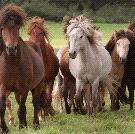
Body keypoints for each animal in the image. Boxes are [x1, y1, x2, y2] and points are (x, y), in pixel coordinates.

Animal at [0, 4, 45, 133]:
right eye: (2, 28)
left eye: (17, 27)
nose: (11, 49)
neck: (12, 64)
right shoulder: (3, 87)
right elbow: (3, 107)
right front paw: (5, 129)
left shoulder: (24, 88)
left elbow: (21, 108)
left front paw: (21, 126)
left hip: (37, 86)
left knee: (35, 103)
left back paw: (35, 124)